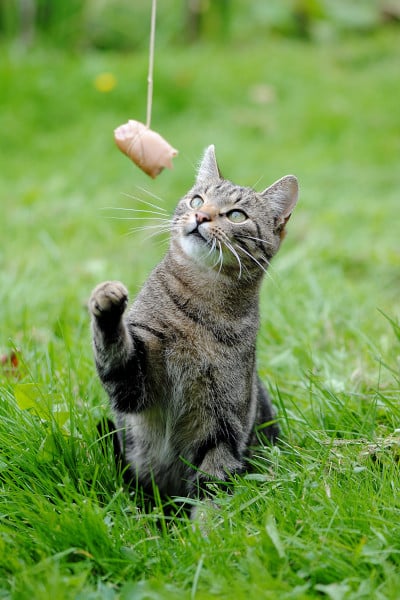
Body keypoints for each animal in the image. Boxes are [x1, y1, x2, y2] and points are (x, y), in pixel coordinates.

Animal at [90, 146, 296, 516]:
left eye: (237, 215)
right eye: (198, 200)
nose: (201, 217)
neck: (203, 300)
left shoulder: (223, 428)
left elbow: (211, 493)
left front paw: (207, 530)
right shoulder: (132, 388)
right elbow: (116, 350)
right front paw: (108, 301)